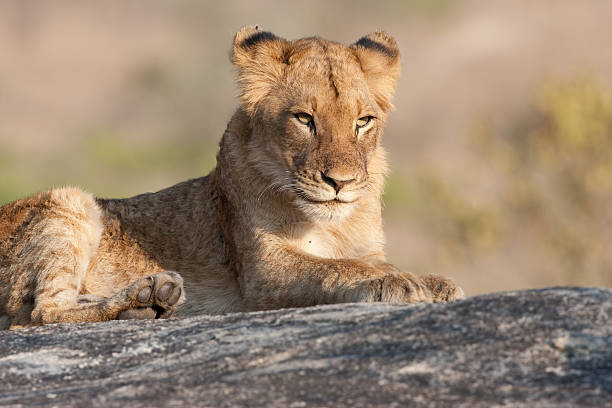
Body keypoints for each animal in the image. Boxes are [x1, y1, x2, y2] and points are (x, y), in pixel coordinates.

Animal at [0, 25, 462, 330]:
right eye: (304, 119)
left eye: (363, 122)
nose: (341, 183)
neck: (333, 222)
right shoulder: (263, 271)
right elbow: (338, 269)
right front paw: (399, 283)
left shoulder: (366, 249)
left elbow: (365, 261)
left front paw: (434, 281)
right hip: (68, 202)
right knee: (41, 313)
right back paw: (145, 298)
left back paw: (153, 300)